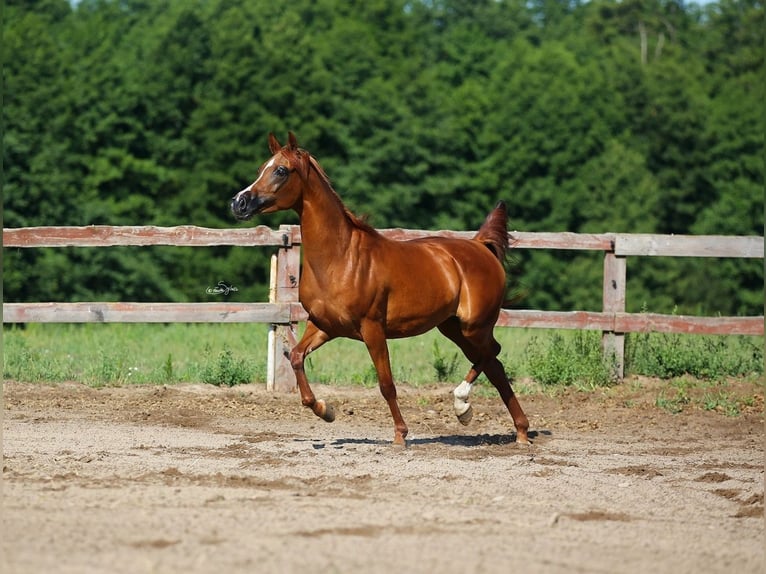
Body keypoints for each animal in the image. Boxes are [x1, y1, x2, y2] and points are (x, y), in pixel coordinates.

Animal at [231, 132, 529, 447]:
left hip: (475, 326)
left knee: (493, 353)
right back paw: (515, 429)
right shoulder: (324, 325)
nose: (238, 203)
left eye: (280, 170)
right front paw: (326, 410)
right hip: (453, 328)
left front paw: (401, 435)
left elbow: (386, 384)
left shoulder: (372, 328)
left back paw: (463, 404)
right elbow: (297, 357)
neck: (340, 258)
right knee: (495, 366)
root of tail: (480, 245)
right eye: (262, 168)